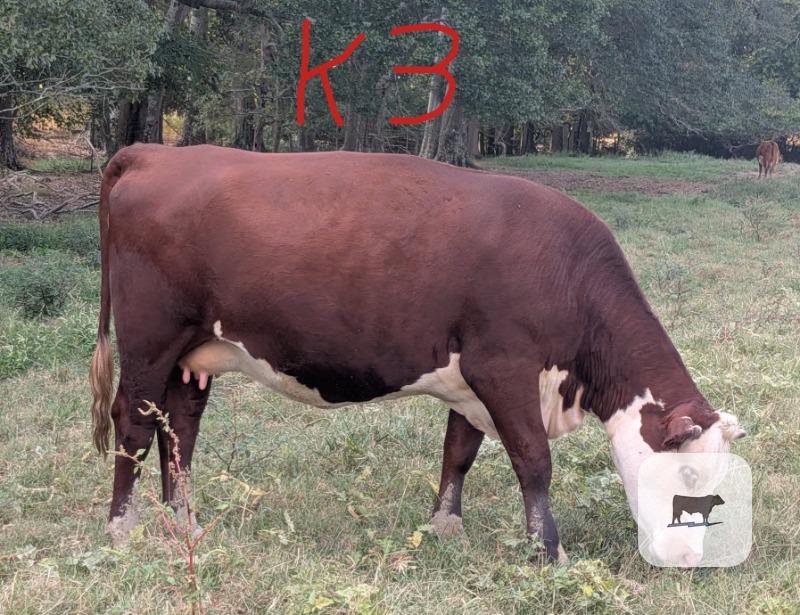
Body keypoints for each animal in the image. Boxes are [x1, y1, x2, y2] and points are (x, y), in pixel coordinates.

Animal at [89, 144, 746, 565]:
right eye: (689, 473)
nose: (690, 560)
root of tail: (158, 152)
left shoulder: (470, 377)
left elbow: (459, 452)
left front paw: (446, 528)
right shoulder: (502, 366)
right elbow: (533, 461)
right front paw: (549, 551)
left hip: (194, 352)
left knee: (179, 427)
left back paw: (185, 521)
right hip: (150, 337)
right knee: (134, 422)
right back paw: (122, 528)